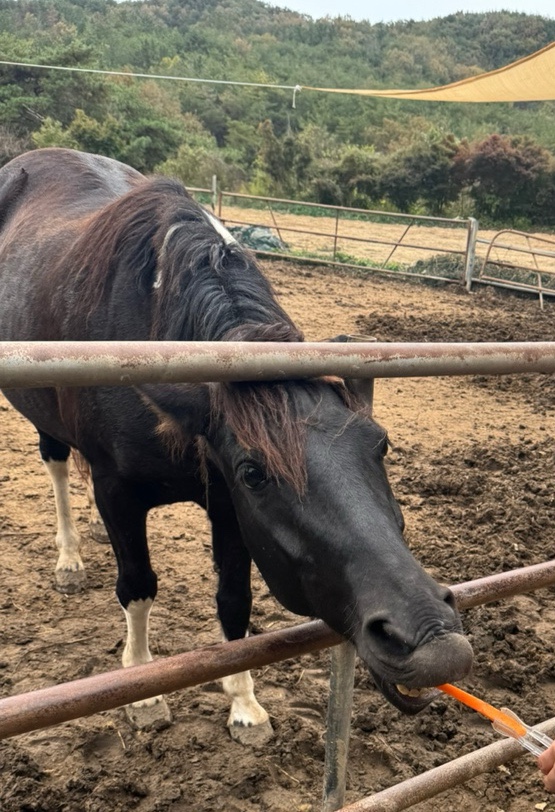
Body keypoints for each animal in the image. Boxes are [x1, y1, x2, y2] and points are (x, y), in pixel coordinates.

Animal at [0, 147, 473, 743]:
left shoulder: (226, 506)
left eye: (381, 445)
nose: (432, 641)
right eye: (254, 472)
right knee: (58, 466)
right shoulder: (120, 491)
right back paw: (69, 559)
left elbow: (234, 603)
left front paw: (244, 704)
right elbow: (137, 586)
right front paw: (143, 690)